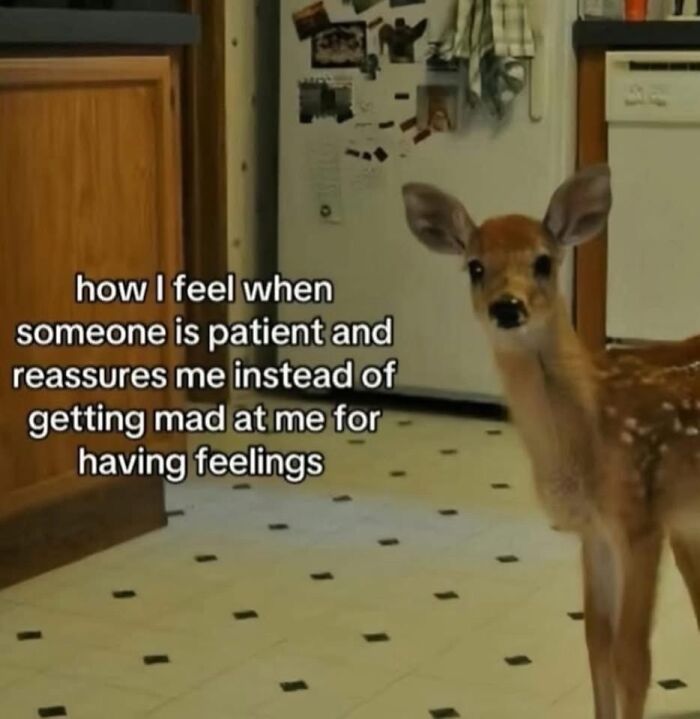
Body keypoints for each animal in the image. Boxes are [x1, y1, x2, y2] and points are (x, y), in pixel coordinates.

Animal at [401, 165, 700, 719]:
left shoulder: (639, 520)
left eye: (543, 261)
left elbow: (633, 656)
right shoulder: (595, 533)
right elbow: (597, 642)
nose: (507, 306)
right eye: (475, 267)